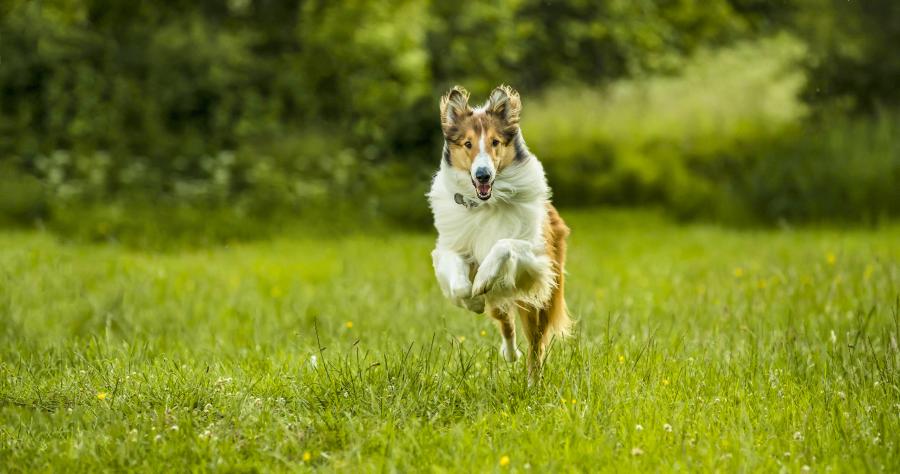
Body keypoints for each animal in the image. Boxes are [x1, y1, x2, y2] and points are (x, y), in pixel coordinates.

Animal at [428, 84, 568, 382]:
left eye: (495, 142)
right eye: (468, 144)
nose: (482, 175)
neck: (486, 203)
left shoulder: (535, 256)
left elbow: (503, 244)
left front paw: (482, 278)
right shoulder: (452, 248)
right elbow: (461, 286)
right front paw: (473, 299)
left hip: (539, 298)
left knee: (535, 345)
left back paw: (532, 383)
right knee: (505, 320)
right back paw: (509, 352)